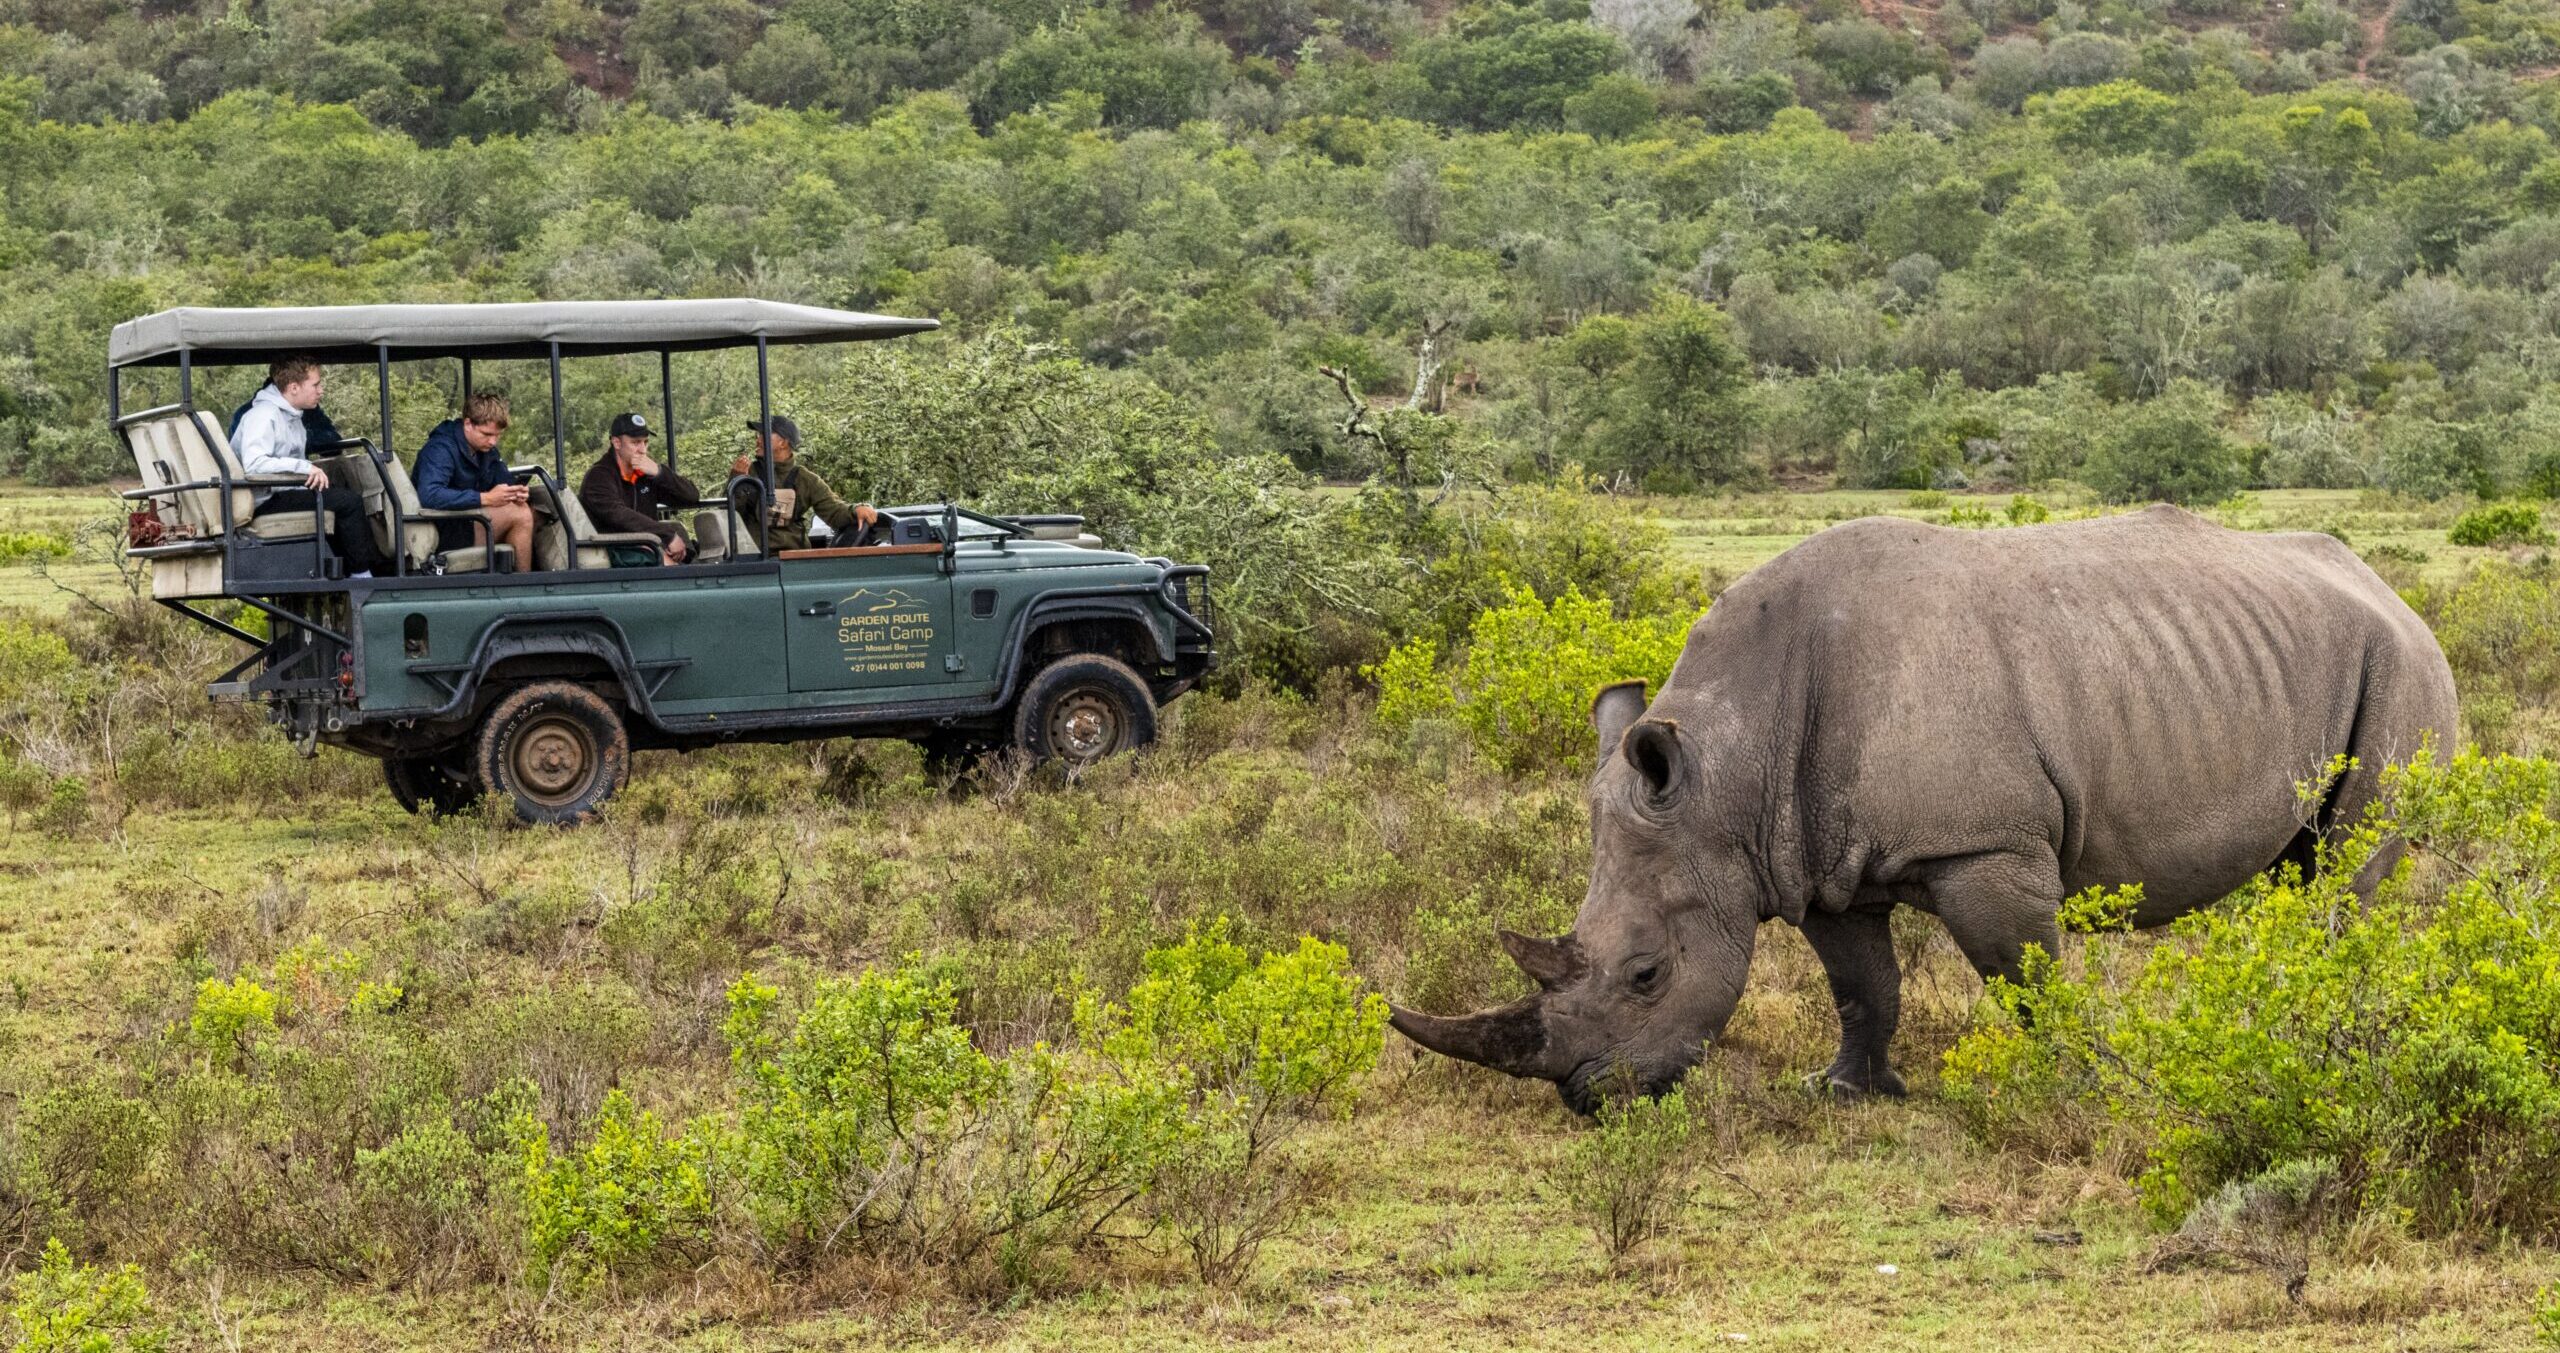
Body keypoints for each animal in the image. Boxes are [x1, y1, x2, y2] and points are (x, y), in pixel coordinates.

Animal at [1392, 505, 2458, 1112]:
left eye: (1648, 974)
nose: (1589, 1099)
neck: (1730, 763)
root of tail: (2392, 589)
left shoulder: (1984, 844)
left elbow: (2026, 976)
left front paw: (2072, 1086)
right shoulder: (1811, 858)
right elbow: (1864, 983)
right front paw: (1845, 1095)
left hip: (2404, 663)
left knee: (2349, 862)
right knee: (2300, 864)